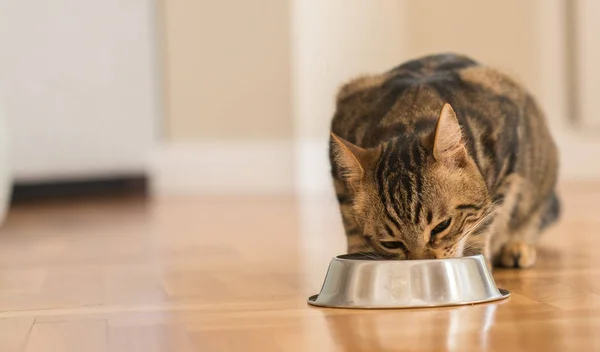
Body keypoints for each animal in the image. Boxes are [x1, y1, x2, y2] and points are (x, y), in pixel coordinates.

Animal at [328, 52, 556, 268]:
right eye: (390, 243)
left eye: (442, 226)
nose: (422, 261)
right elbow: (351, 225)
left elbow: (486, 221)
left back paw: (517, 246)